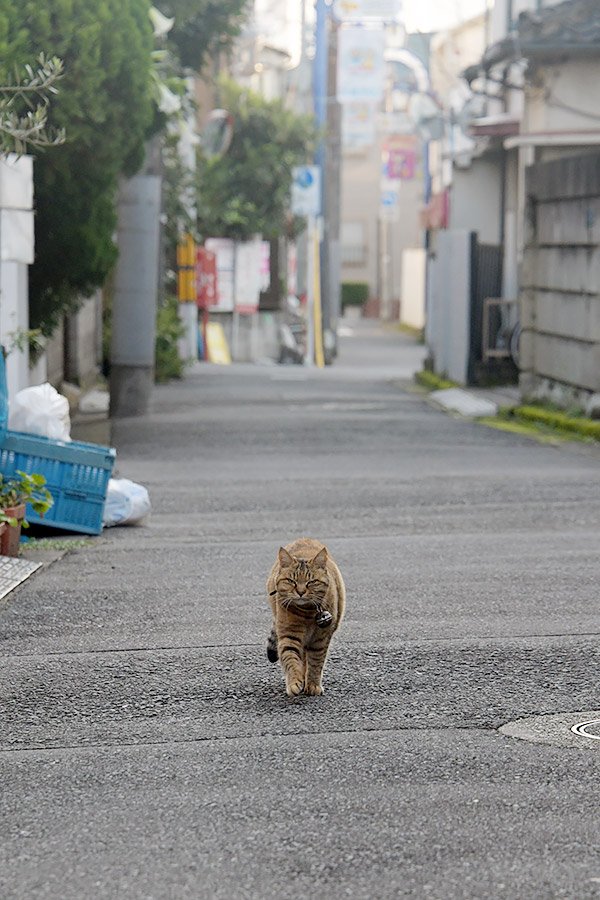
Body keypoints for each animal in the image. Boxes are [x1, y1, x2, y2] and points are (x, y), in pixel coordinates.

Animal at [264, 540, 344, 696]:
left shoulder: (320, 640)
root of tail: (305, 538)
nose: (300, 592)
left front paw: (312, 685)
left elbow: (316, 662)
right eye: (291, 581)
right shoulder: (289, 636)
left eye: (311, 582)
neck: (306, 614)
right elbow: (291, 660)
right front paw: (295, 683)